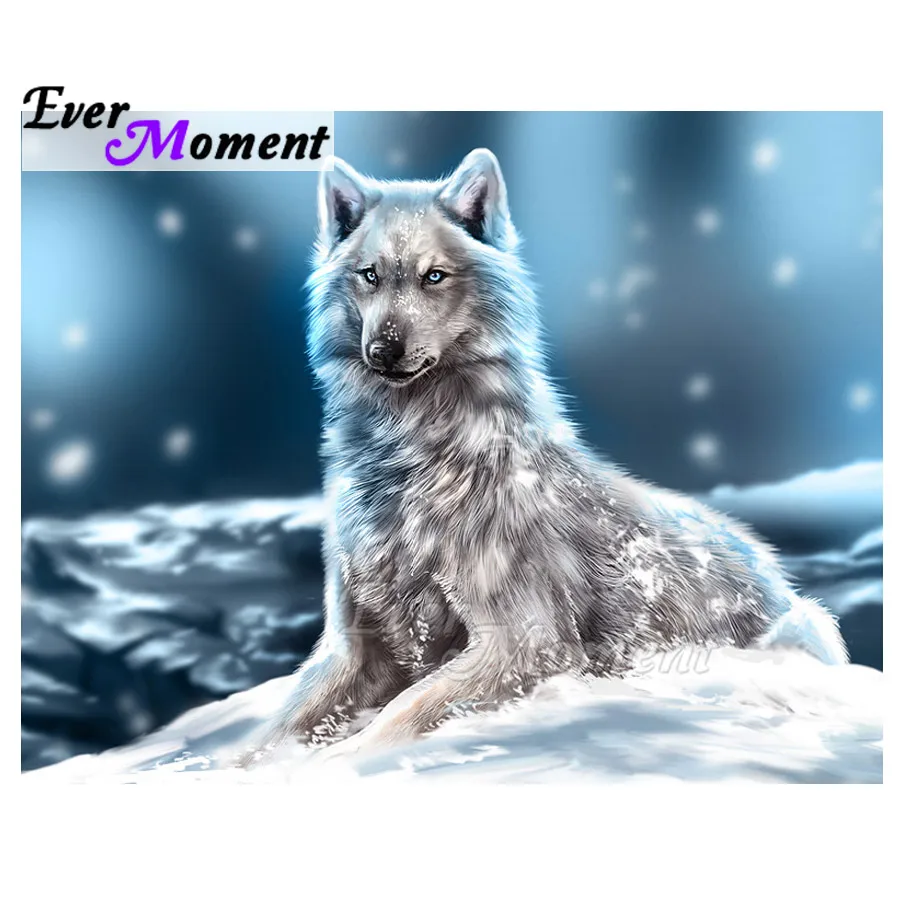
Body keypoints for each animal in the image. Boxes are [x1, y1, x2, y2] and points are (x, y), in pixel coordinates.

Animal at [241, 148, 847, 764]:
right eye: (370, 276)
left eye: (434, 276)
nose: (383, 349)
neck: (408, 463)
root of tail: (778, 576)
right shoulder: (355, 647)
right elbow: (270, 733)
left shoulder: (526, 641)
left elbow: (398, 716)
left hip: (799, 628)